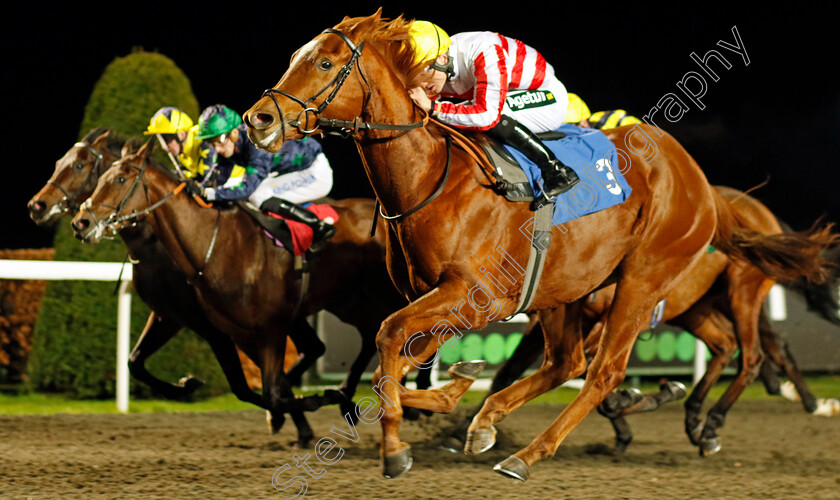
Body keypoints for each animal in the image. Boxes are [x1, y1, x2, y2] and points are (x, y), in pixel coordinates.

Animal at [70, 138, 412, 446]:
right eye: (98, 179)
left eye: (120, 179)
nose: (80, 222)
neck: (216, 246)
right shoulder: (218, 327)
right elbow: (247, 388)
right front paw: (190, 385)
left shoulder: (267, 328)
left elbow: (270, 391)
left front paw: (313, 403)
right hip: (347, 300)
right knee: (366, 334)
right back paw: (349, 395)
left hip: (374, 294)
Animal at [241, 12, 832, 480]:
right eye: (296, 58)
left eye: (324, 64)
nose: (257, 119)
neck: (431, 179)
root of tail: (702, 183)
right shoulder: (431, 298)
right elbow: (402, 365)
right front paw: (452, 397)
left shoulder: (475, 298)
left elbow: (389, 341)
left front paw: (395, 448)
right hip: (568, 289)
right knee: (568, 361)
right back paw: (491, 421)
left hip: (646, 281)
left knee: (610, 371)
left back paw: (531, 453)